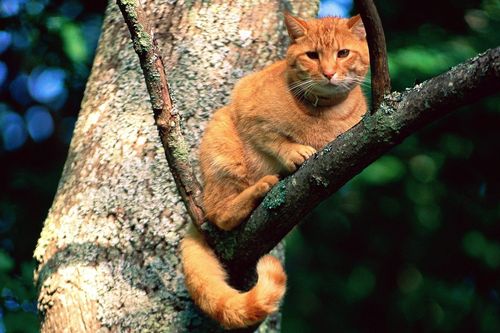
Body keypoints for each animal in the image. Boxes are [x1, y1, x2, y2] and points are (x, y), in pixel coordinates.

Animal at [182, 12, 370, 326]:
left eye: (343, 53)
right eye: (312, 55)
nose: (329, 73)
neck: (323, 114)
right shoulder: (248, 110)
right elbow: (275, 139)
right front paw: (295, 152)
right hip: (223, 150)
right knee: (219, 214)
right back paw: (260, 188)